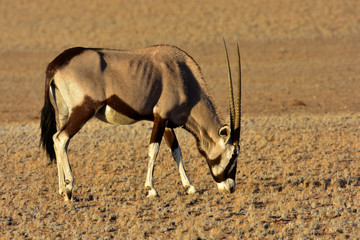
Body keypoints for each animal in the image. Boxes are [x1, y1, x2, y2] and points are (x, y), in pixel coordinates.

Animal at [40, 41, 242, 201]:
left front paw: (189, 186)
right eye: (233, 154)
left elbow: (176, 151)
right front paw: (151, 189)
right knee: (60, 139)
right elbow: (154, 149)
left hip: (64, 113)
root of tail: (55, 65)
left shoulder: (166, 123)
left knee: (58, 141)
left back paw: (61, 189)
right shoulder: (160, 117)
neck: (184, 77)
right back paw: (69, 189)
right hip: (83, 110)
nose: (231, 188)